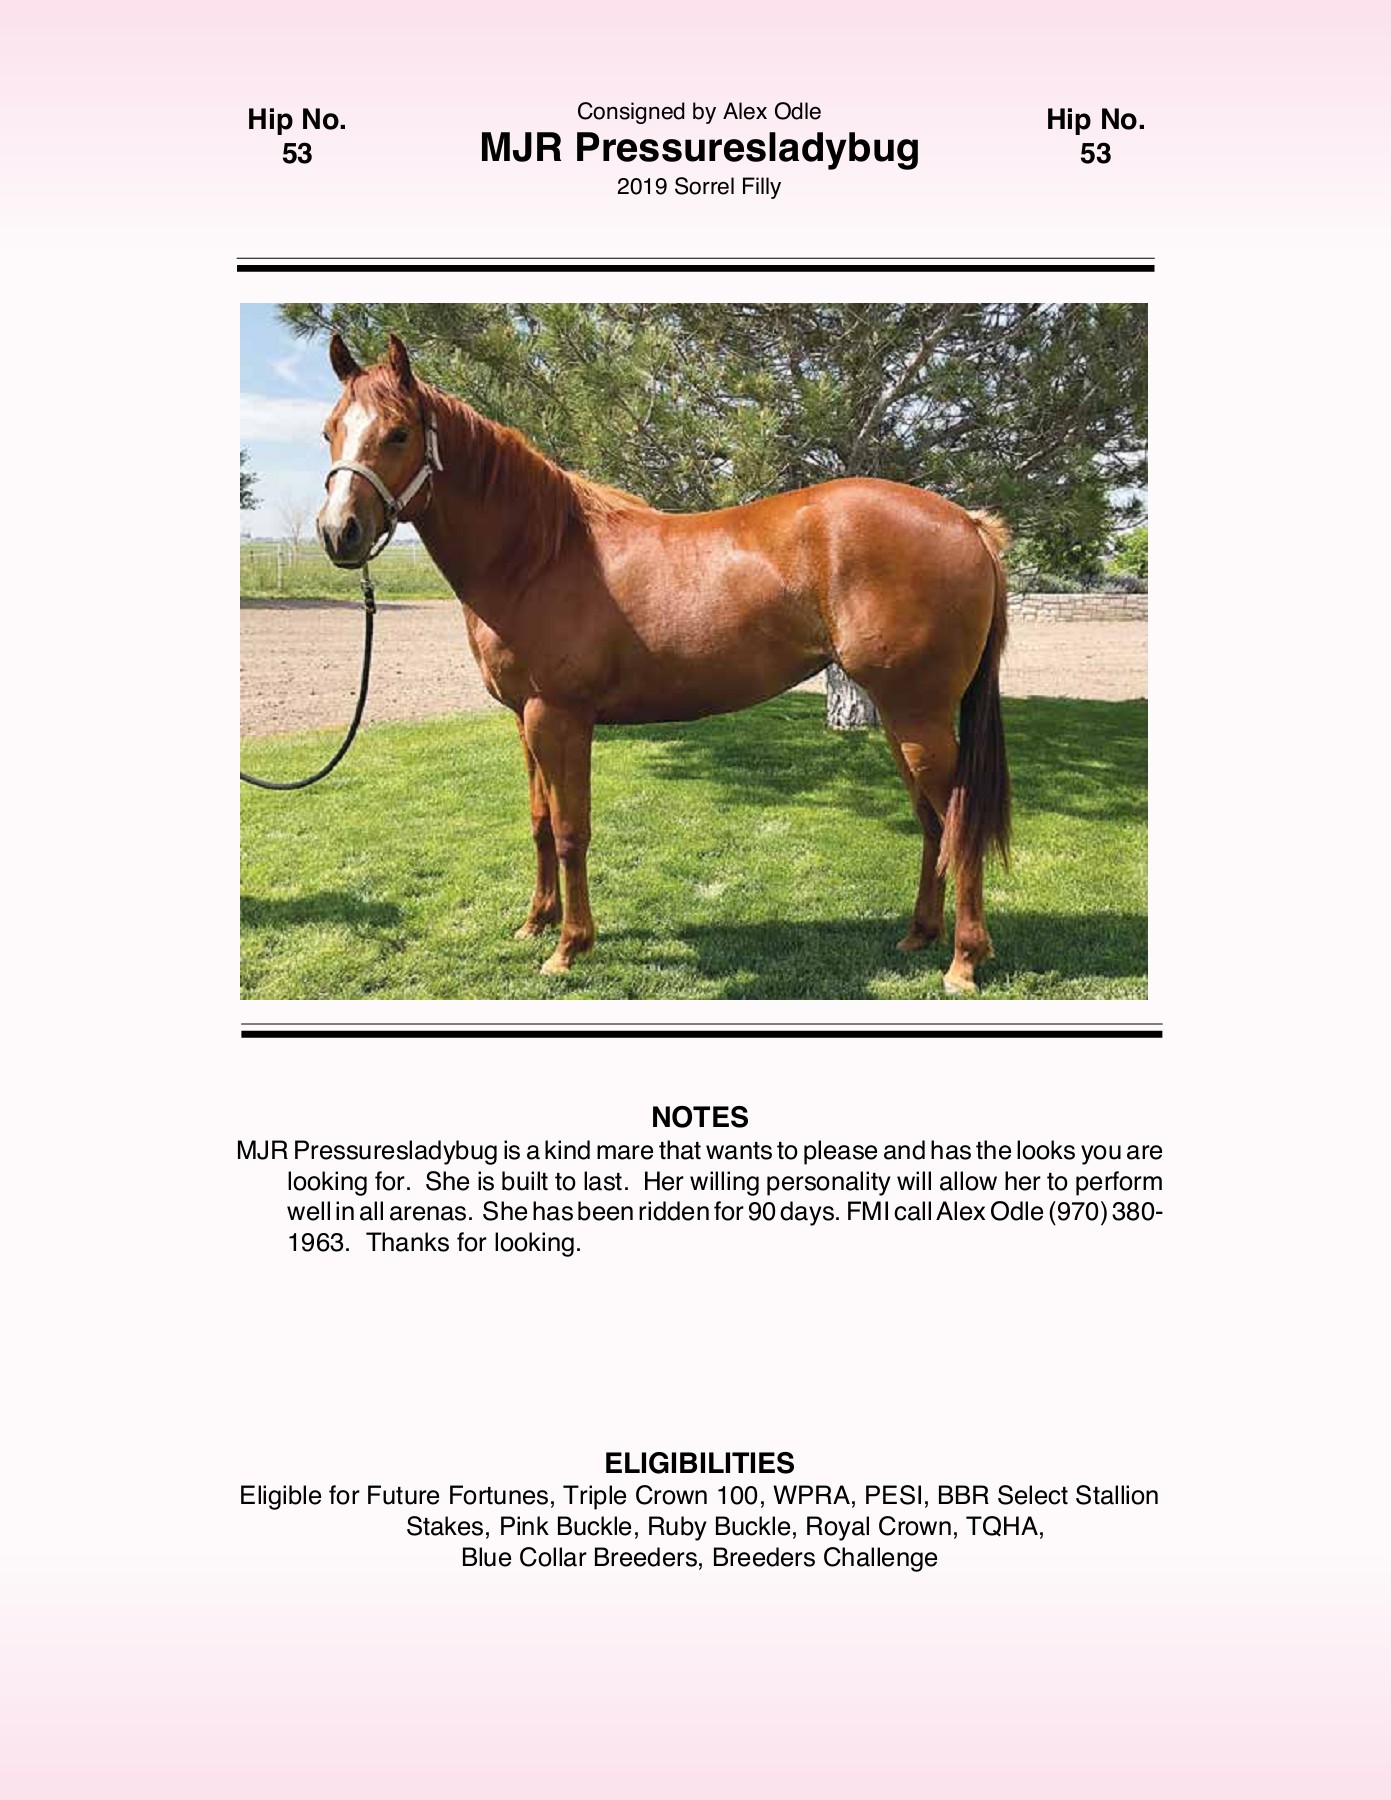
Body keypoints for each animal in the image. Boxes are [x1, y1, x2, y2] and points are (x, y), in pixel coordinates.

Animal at [316, 334, 1011, 993]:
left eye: (399, 432)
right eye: (330, 431)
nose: (337, 531)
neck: (540, 554)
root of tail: (969, 523)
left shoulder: (559, 718)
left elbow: (571, 830)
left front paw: (568, 949)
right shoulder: (523, 719)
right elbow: (540, 823)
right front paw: (535, 923)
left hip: (918, 716)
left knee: (958, 821)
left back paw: (963, 962)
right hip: (900, 717)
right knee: (933, 822)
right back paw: (919, 935)